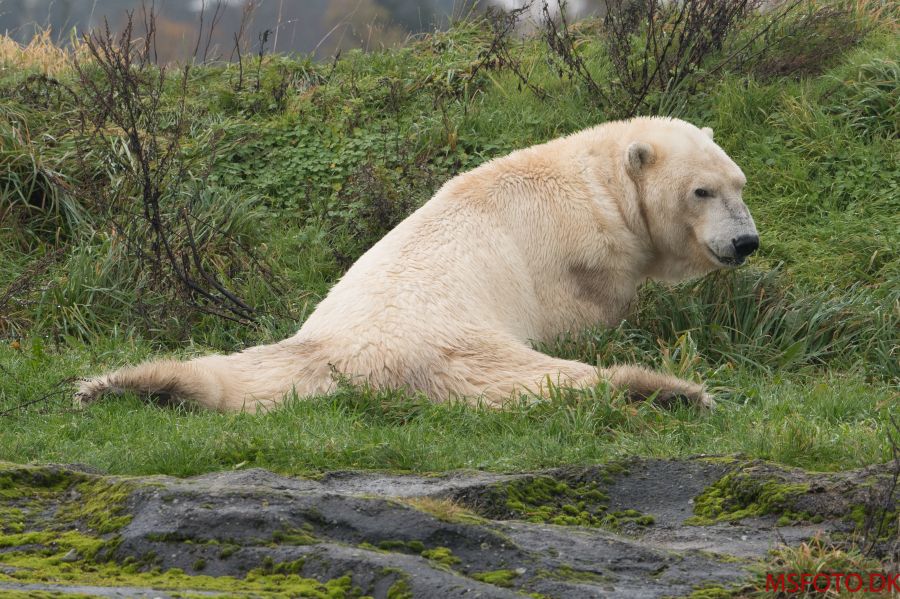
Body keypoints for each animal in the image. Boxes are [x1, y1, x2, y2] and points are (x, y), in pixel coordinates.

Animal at [75, 117, 760, 412]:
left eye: (740, 184)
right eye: (701, 191)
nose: (746, 242)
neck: (600, 184)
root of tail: (363, 367)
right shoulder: (580, 259)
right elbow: (588, 322)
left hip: (309, 345)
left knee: (237, 375)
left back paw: (132, 384)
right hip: (462, 347)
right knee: (554, 383)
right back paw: (669, 391)